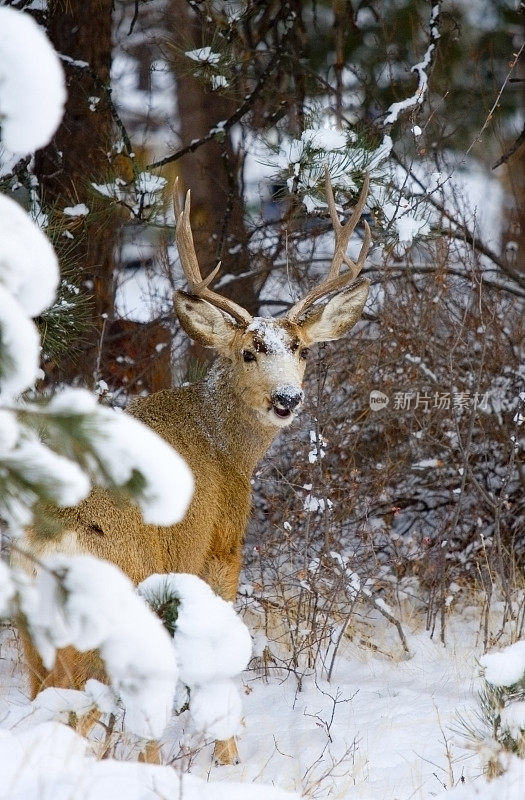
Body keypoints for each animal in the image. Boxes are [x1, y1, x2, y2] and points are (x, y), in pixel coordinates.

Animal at [20, 167, 370, 764]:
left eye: (302, 350)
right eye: (249, 352)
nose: (287, 399)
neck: (225, 446)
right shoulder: (221, 546)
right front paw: (228, 755)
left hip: (30, 640)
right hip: (110, 620)